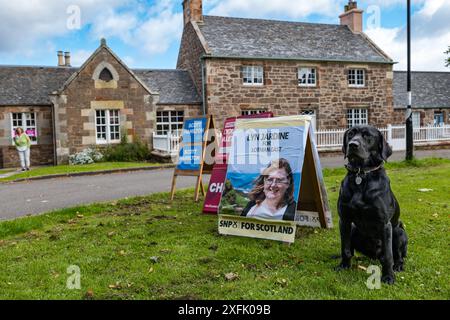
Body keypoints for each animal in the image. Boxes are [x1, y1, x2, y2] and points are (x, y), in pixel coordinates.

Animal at [338, 125, 408, 284]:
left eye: (367, 136)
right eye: (351, 134)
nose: (352, 145)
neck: (361, 174)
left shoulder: (384, 224)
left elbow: (388, 256)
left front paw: (388, 277)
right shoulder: (344, 220)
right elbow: (345, 249)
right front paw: (344, 266)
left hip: (398, 231)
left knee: (397, 256)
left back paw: (398, 266)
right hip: (353, 229)